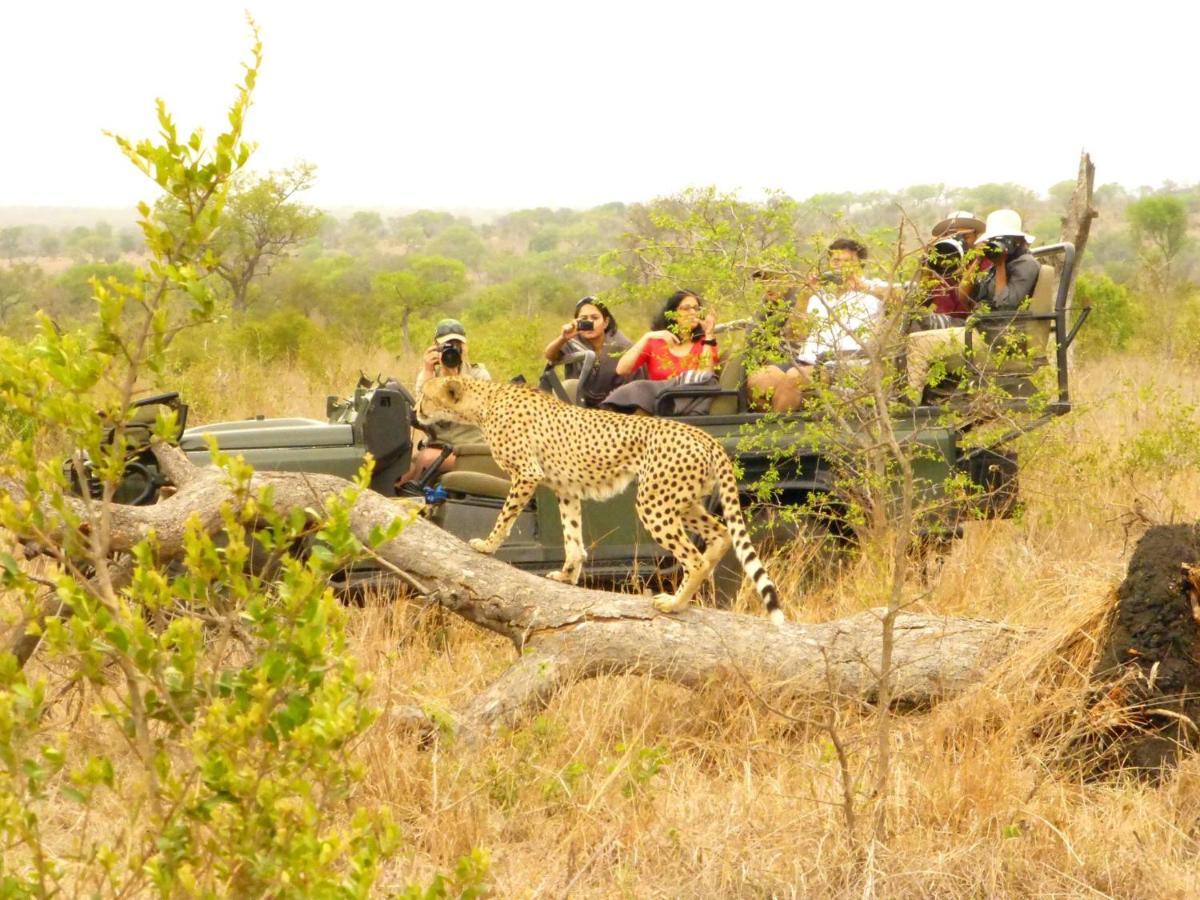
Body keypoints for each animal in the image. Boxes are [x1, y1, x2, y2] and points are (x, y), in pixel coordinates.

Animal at [417, 376, 782, 624]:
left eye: (424, 396)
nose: (417, 412)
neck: (484, 401)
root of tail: (704, 434)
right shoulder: (565, 488)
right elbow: (572, 536)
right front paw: (567, 575)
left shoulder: (526, 474)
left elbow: (505, 516)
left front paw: (487, 545)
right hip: (682, 500)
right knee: (720, 534)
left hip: (653, 502)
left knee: (694, 558)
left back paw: (674, 603)